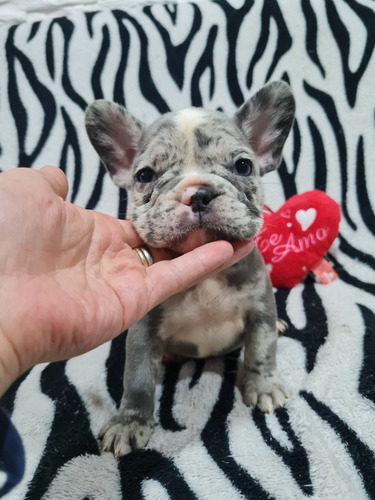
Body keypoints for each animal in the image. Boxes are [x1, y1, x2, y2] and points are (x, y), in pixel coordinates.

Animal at [85, 81, 296, 458]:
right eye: (145, 175)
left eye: (243, 166)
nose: (198, 192)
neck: (206, 278)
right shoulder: (143, 330)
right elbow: (137, 378)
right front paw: (130, 422)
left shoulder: (260, 307)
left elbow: (261, 349)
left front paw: (262, 385)